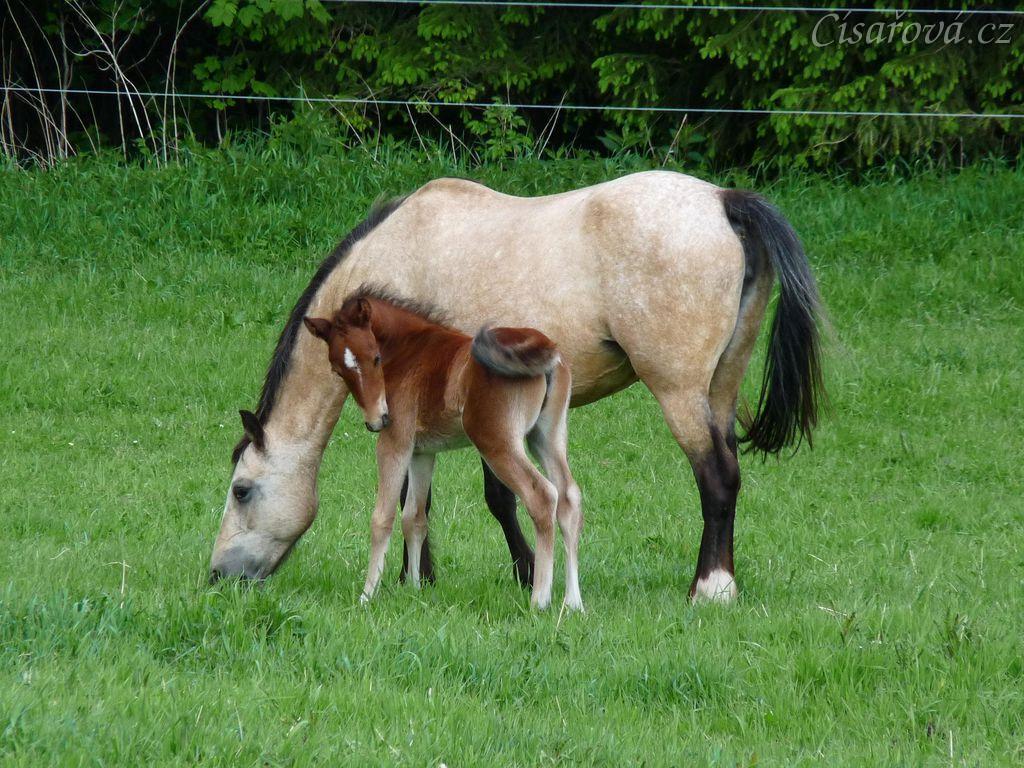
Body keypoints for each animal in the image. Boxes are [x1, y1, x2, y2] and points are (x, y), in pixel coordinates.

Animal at [301, 289, 582, 610]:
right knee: (569, 497)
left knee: (543, 496)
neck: (409, 349)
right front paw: (414, 589)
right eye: (338, 370)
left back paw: (540, 599)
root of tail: (545, 345)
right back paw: (573, 602)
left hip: (497, 442)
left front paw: (367, 595)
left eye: (375, 358)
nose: (376, 421)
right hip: (546, 437)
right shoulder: (422, 452)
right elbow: (414, 517)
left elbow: (382, 518)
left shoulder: (395, 442)